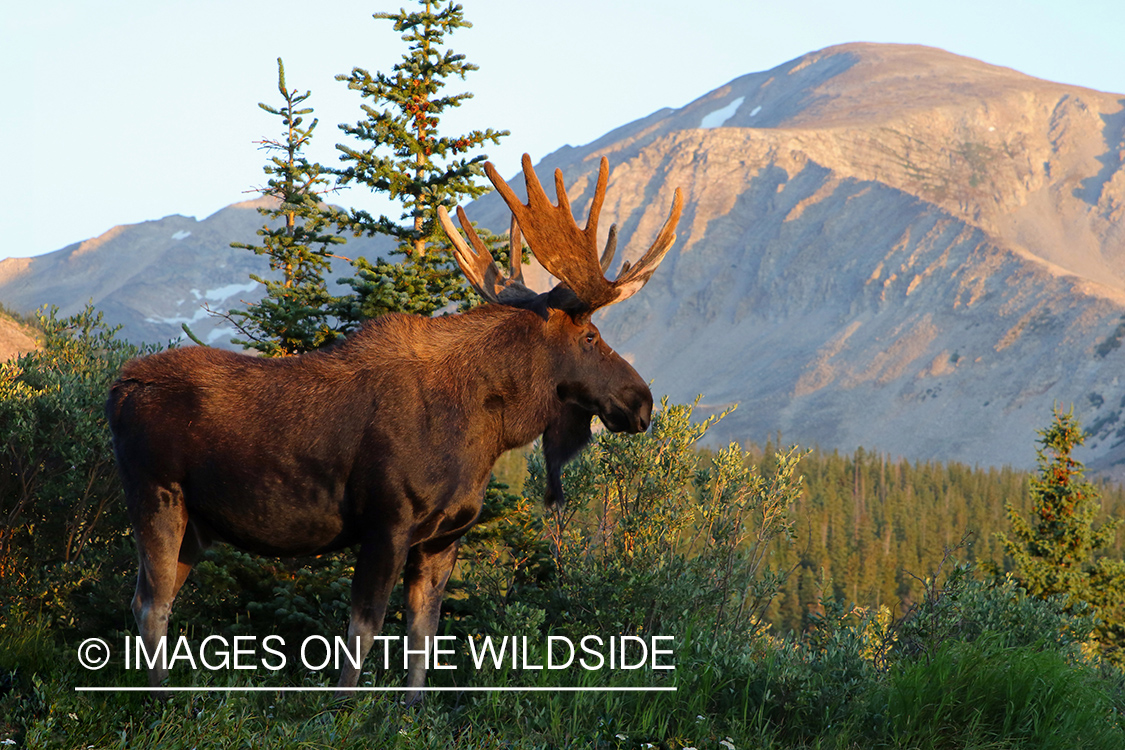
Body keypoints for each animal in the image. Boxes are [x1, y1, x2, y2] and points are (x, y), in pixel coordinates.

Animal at [105, 153, 683, 701]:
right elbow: (363, 629)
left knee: (156, 599)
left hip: (197, 526)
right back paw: (162, 702)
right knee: (149, 604)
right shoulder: (386, 521)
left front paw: (412, 709)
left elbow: (423, 634)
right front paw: (342, 708)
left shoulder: (443, 537)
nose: (643, 401)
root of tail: (119, 389)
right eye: (590, 337)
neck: (484, 432)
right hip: (156, 496)